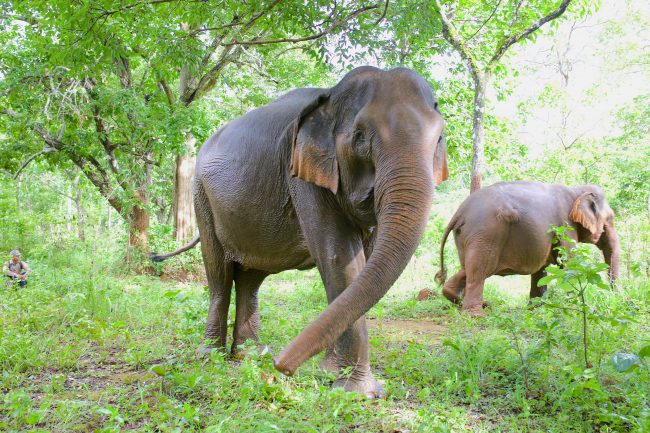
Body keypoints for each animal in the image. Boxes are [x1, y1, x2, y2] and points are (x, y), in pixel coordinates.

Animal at [152, 66, 446, 396]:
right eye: (360, 138)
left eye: (439, 139)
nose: (282, 366)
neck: (331, 95)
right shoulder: (302, 176)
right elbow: (338, 257)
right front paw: (359, 392)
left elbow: (362, 263)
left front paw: (330, 374)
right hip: (201, 196)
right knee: (219, 273)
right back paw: (210, 356)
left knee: (250, 278)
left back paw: (249, 355)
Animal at [436, 181, 616, 316]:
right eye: (611, 218)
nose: (614, 293)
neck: (575, 189)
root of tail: (460, 212)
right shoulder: (566, 226)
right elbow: (570, 264)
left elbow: (541, 270)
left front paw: (535, 309)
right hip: (485, 235)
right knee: (479, 272)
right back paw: (476, 314)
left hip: (466, 236)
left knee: (468, 269)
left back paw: (472, 302)